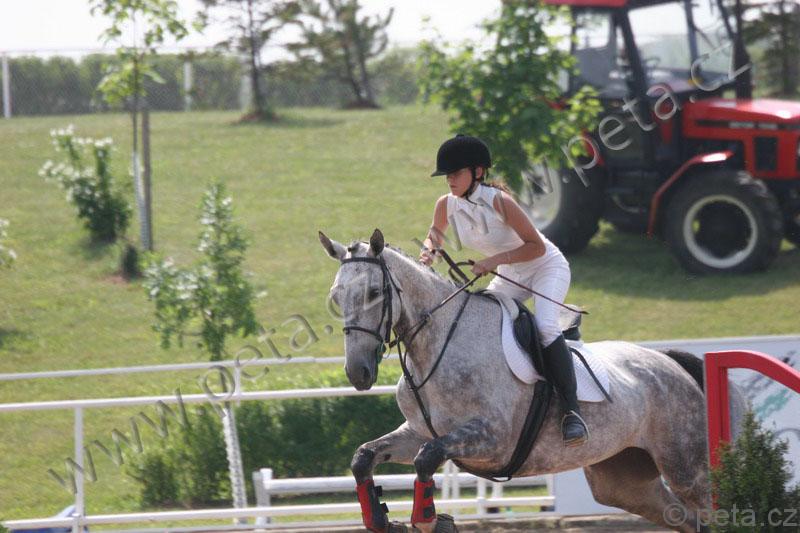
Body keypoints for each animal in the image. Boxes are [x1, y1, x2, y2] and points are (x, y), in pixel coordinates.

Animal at [319, 229, 746, 533]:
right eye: (336, 297)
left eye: (375, 292)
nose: (358, 373)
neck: (437, 345)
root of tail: (670, 362)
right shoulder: (418, 432)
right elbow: (365, 456)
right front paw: (379, 517)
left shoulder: (492, 439)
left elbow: (427, 458)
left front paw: (429, 520)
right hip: (623, 481)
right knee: (686, 520)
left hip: (689, 469)